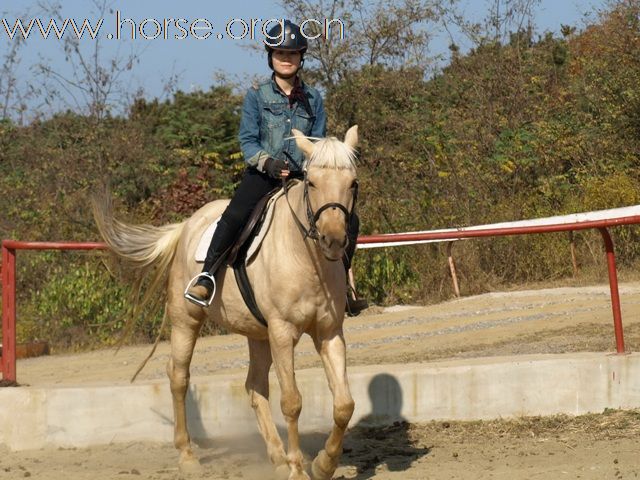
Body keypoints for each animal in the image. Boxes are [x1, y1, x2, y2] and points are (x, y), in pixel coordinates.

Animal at [94, 125, 362, 478]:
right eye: (312, 182)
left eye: (353, 183)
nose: (333, 239)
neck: (306, 258)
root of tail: (187, 225)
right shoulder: (282, 333)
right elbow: (292, 402)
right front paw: (298, 468)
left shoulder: (329, 332)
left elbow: (344, 404)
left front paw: (323, 464)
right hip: (186, 320)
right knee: (178, 377)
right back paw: (188, 456)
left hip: (257, 334)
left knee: (254, 387)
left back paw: (276, 457)